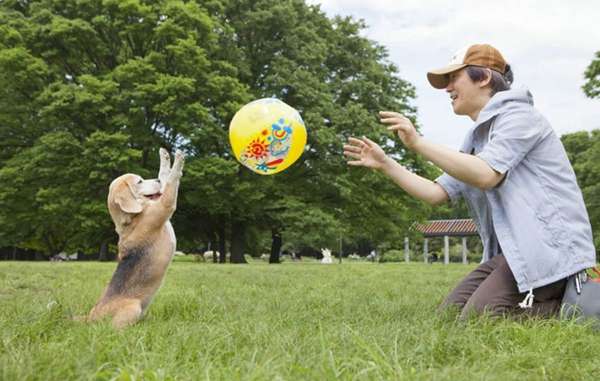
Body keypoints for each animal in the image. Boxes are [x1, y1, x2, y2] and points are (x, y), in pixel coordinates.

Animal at [84, 148, 183, 326]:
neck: (132, 217)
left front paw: (164, 157)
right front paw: (178, 160)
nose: (157, 180)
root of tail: (90, 316)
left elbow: (165, 176)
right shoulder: (166, 204)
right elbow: (172, 181)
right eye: (139, 181)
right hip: (133, 308)